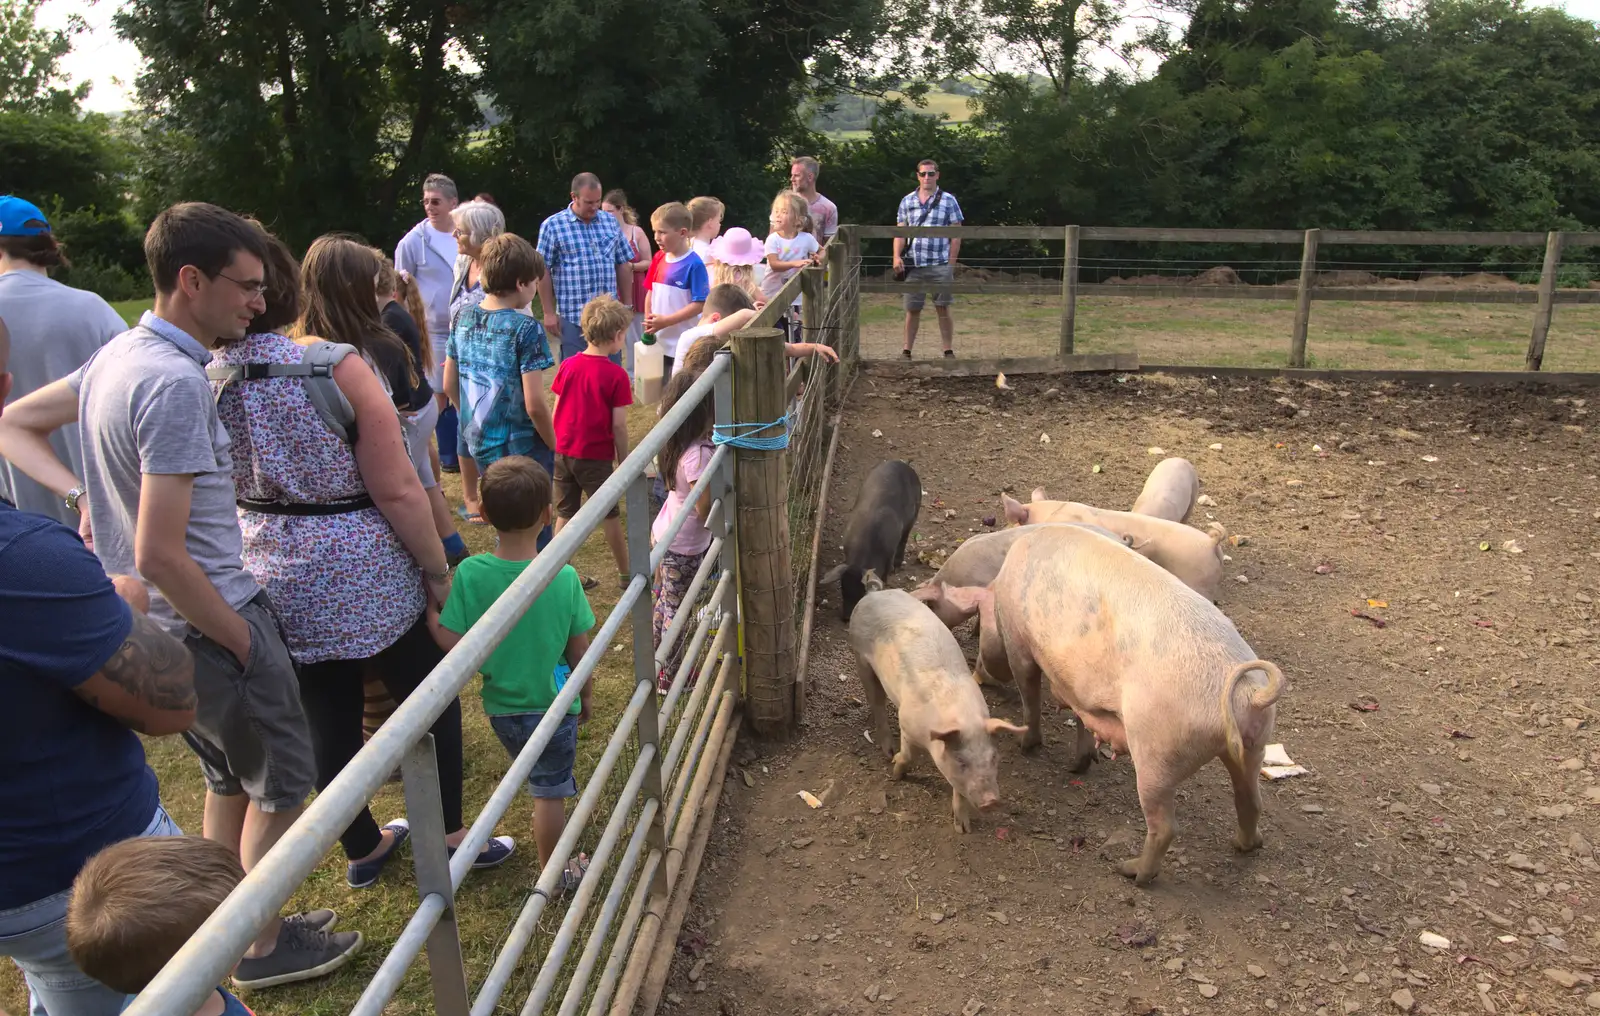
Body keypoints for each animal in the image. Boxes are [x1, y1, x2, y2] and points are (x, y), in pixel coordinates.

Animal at [819, 457, 921, 620]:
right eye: (842, 588)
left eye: (862, 591)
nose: (846, 618)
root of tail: (904, 464)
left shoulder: (889, 552)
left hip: (914, 515)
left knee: (905, 539)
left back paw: (898, 566)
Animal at [851, 569, 1024, 832]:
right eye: (961, 761)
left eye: (994, 757)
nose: (991, 801)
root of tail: (873, 593)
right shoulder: (907, 723)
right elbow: (908, 755)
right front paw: (896, 770)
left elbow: (959, 789)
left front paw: (963, 829)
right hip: (860, 657)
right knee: (877, 702)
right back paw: (887, 751)